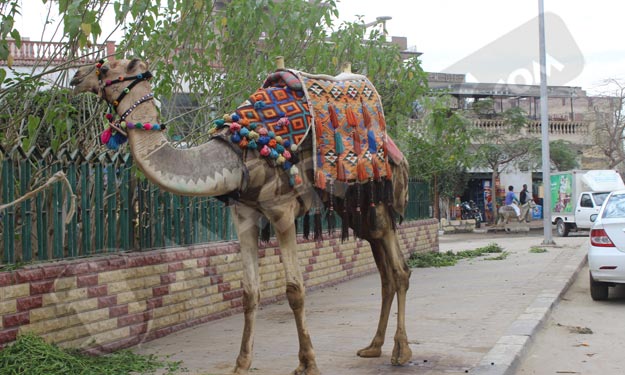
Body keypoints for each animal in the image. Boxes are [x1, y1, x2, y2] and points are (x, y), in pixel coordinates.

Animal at [70, 58, 414, 375]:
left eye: (105, 67)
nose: (76, 77)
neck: (236, 153)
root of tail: (396, 150)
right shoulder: (244, 213)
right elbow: (249, 291)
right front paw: (241, 363)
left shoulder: (282, 211)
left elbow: (295, 290)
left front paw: (307, 363)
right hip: (357, 209)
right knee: (385, 271)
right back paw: (373, 347)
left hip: (378, 200)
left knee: (399, 269)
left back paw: (400, 352)